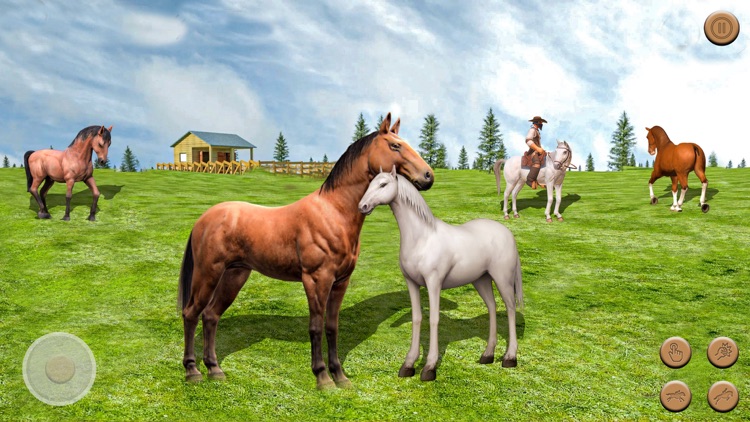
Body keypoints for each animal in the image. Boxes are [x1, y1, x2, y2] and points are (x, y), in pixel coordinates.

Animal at [177, 113, 434, 389]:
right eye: (395, 145)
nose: (428, 176)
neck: (333, 212)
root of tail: (203, 220)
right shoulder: (316, 279)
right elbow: (316, 327)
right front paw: (322, 378)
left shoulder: (340, 282)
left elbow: (332, 327)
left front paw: (340, 376)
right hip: (208, 274)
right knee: (191, 314)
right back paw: (192, 371)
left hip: (234, 276)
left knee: (211, 316)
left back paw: (215, 369)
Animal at [358, 167, 523, 381]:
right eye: (370, 183)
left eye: (383, 184)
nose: (362, 206)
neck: (422, 238)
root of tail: (507, 233)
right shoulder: (411, 283)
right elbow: (417, 318)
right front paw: (408, 365)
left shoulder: (433, 283)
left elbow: (434, 319)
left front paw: (429, 367)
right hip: (481, 280)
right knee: (492, 307)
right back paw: (487, 355)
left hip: (503, 278)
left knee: (510, 308)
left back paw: (510, 357)